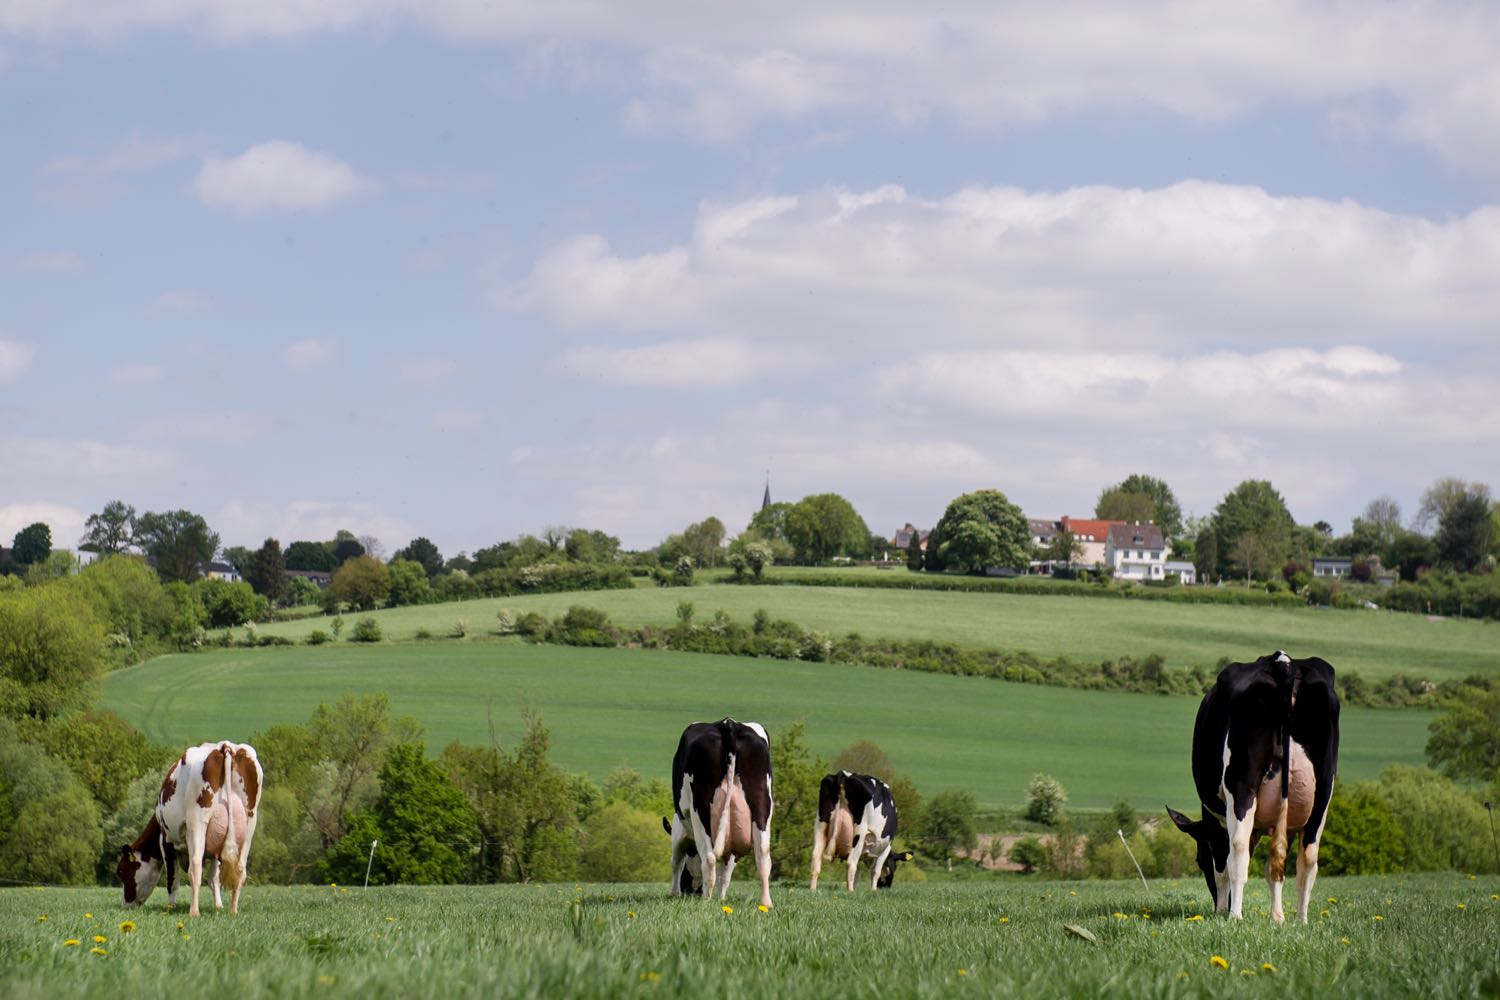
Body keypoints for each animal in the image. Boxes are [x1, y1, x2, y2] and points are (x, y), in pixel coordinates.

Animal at [118, 740, 262, 917]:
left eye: (122, 871)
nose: (125, 905)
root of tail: (224, 746)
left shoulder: (166, 840)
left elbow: (172, 880)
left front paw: (170, 908)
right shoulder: (216, 845)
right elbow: (214, 879)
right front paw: (219, 906)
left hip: (197, 821)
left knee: (195, 868)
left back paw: (194, 911)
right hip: (249, 824)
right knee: (240, 869)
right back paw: (233, 910)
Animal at [672, 719, 780, 905]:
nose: (690, 890)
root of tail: (728, 723)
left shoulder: (679, 828)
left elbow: (676, 861)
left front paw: (674, 893)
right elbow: (726, 874)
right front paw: (721, 899)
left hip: (700, 809)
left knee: (708, 857)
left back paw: (706, 900)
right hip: (762, 802)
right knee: (763, 855)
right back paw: (766, 903)